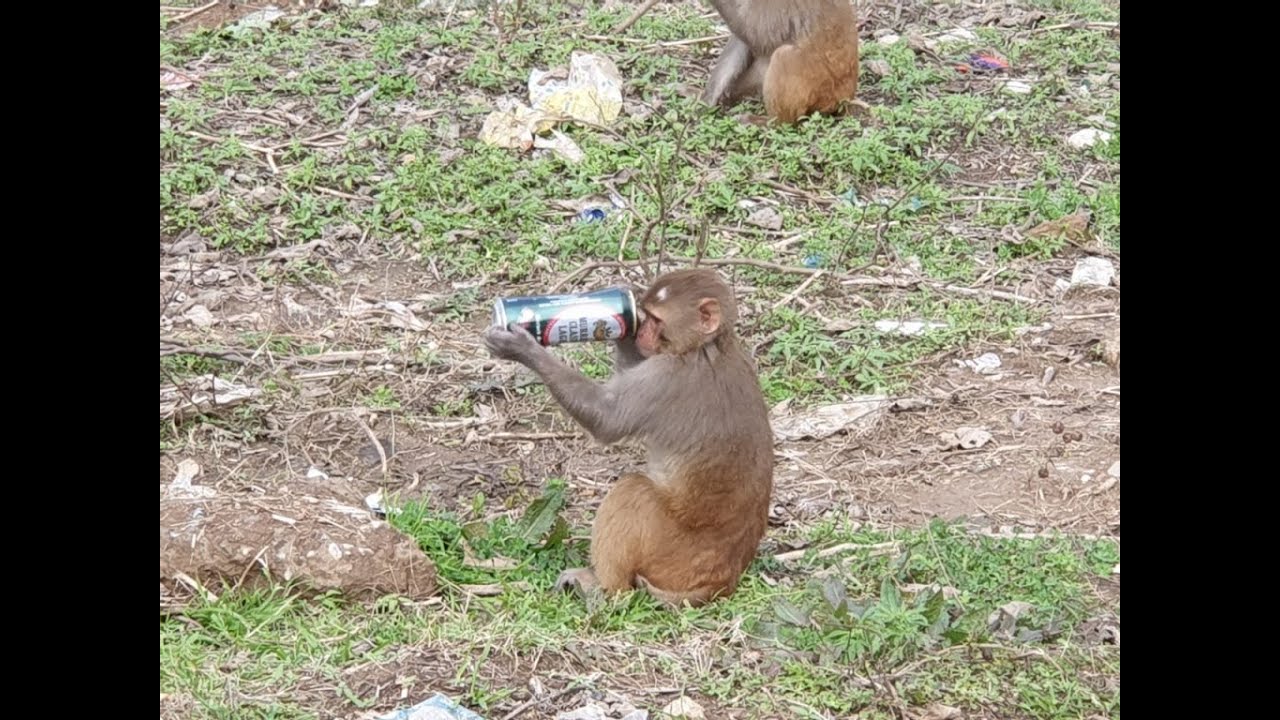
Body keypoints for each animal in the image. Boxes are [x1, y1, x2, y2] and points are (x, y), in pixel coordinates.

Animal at [482, 269, 774, 608]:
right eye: (645, 317)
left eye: (657, 320)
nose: (642, 330)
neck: (705, 346)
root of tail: (723, 581)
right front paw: (621, 322)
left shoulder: (666, 378)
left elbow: (608, 418)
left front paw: (521, 347)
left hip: (670, 552)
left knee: (633, 490)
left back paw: (605, 588)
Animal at [700, 0, 860, 125]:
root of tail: (846, 96)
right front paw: (709, 98)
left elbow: (760, 39)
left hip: (822, 88)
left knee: (782, 56)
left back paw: (770, 123)